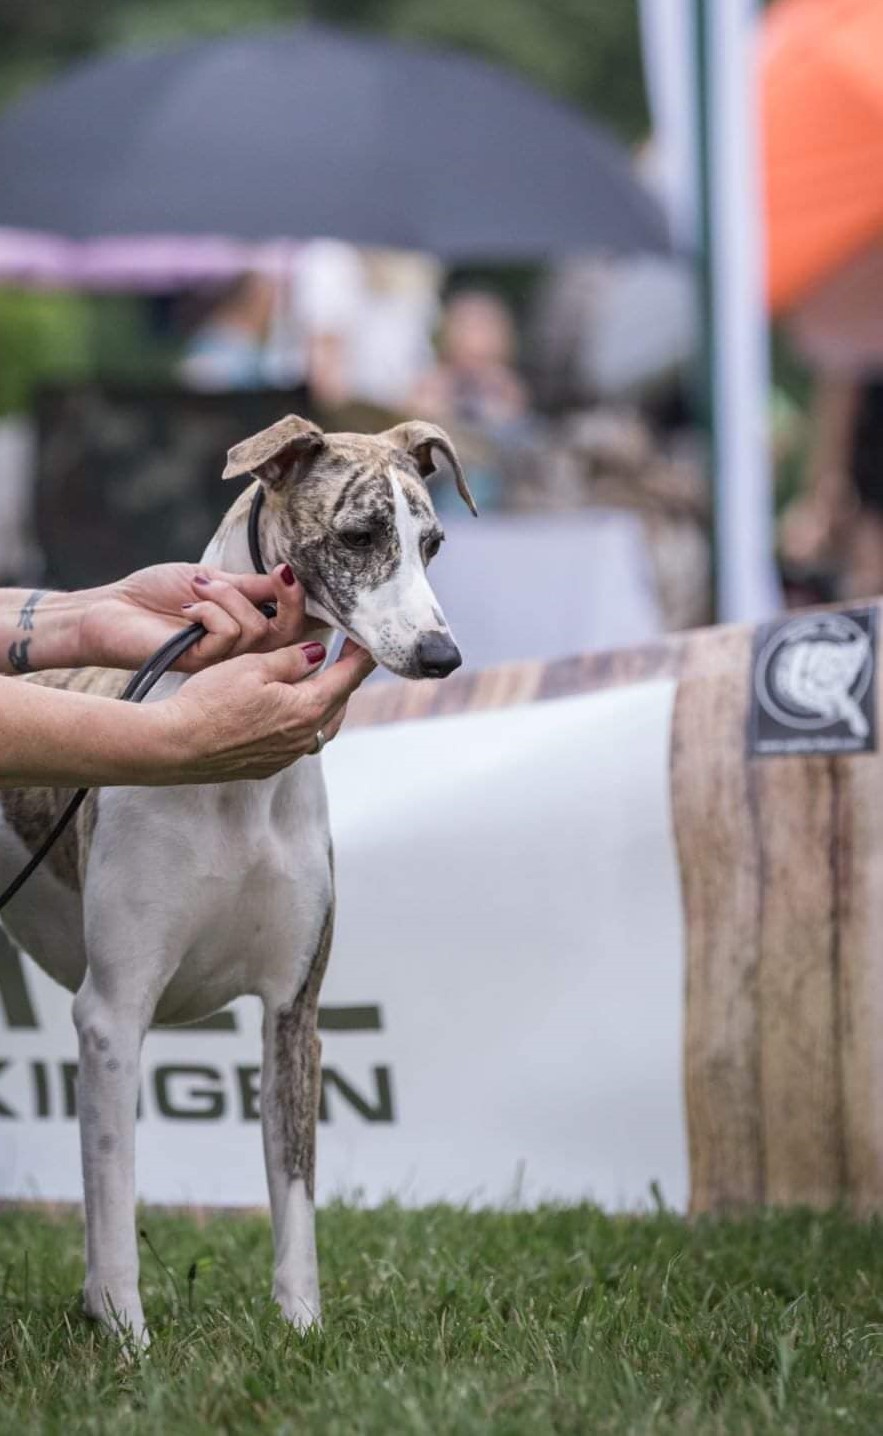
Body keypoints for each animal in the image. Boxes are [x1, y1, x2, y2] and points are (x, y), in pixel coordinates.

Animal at [0, 415, 475, 1343]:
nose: (442, 656)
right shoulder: (112, 1016)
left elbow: (293, 1197)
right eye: (360, 536)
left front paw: (301, 1328)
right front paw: (127, 1338)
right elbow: (113, 1200)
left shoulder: (293, 1010)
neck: (239, 789)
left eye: (433, 544)